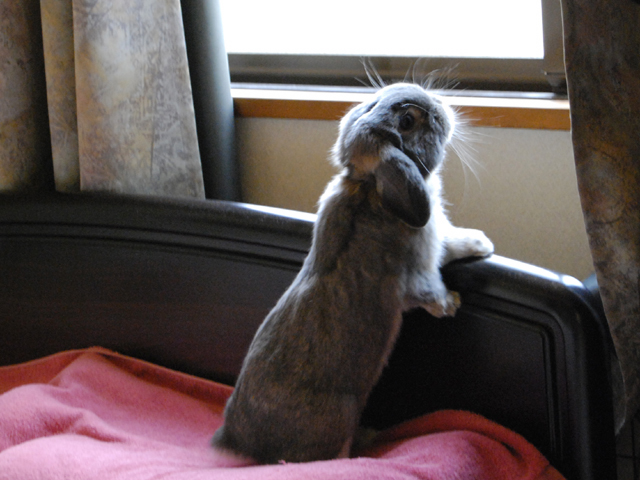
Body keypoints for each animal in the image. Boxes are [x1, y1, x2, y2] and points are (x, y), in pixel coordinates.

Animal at [211, 83, 494, 465]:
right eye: (407, 121)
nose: (440, 106)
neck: (371, 187)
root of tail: (237, 441)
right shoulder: (417, 273)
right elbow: (430, 291)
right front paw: (452, 303)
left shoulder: (437, 241)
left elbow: (452, 242)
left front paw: (481, 243)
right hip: (339, 417)